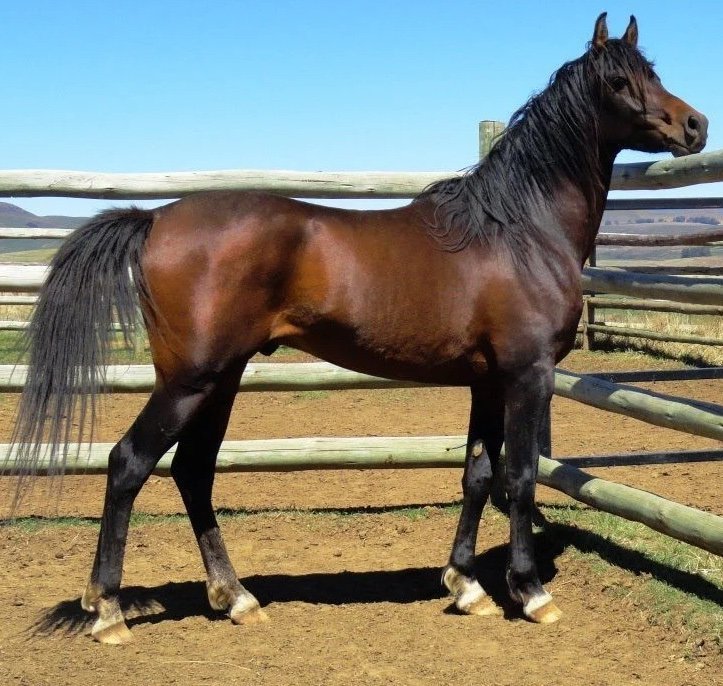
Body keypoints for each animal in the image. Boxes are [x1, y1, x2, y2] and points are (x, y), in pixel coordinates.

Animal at [10, 13, 707, 644]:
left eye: (653, 73)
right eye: (618, 81)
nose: (695, 125)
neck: (518, 231)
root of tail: (156, 218)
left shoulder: (486, 381)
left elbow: (478, 474)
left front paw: (467, 586)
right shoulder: (526, 375)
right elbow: (521, 477)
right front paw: (530, 593)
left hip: (221, 380)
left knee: (193, 472)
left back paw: (235, 598)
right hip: (189, 381)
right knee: (129, 464)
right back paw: (108, 611)